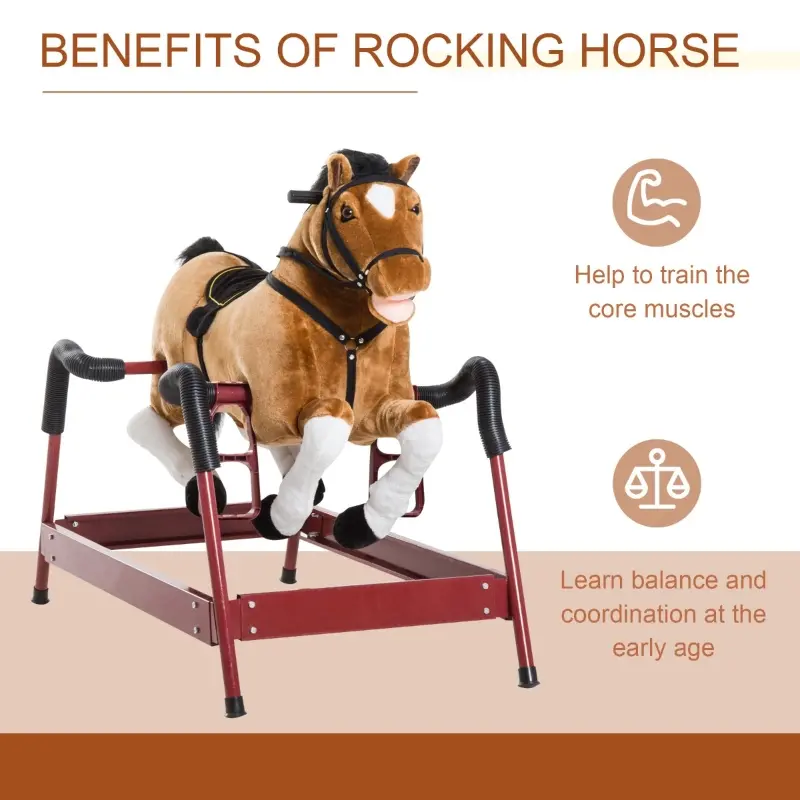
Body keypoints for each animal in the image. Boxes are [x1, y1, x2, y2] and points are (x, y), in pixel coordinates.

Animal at [127, 149, 442, 550]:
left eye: (415, 206)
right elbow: (328, 431)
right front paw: (280, 517)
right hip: (172, 383)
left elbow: (427, 428)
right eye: (346, 212)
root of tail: (207, 252)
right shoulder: (277, 409)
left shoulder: (379, 410)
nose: (405, 276)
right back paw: (203, 487)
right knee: (143, 421)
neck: (348, 332)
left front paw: (365, 522)